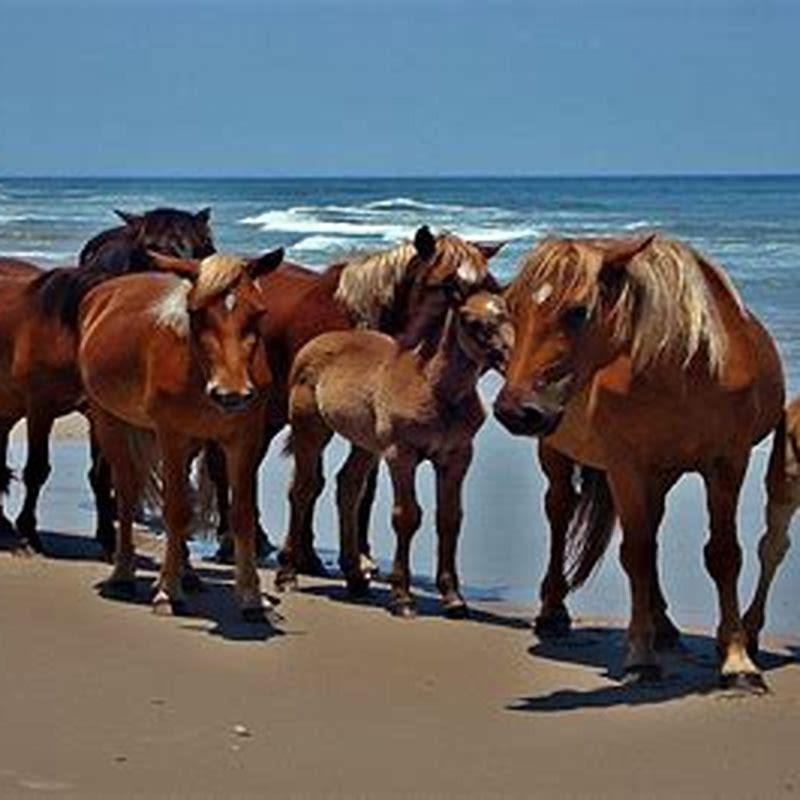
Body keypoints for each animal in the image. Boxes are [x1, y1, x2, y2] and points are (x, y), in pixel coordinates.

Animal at [0, 207, 215, 553]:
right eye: (151, 248)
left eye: (201, 247)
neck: (77, 323)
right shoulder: (40, 407)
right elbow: (37, 470)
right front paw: (29, 532)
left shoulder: (101, 413)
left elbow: (101, 475)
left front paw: (107, 538)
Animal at [78, 248, 284, 618]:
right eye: (196, 313)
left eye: (259, 313)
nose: (231, 394)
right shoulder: (171, 435)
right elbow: (174, 511)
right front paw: (167, 592)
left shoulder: (244, 438)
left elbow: (242, 513)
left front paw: (252, 597)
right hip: (110, 422)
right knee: (127, 494)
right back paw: (124, 574)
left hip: (192, 442)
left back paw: (187, 574)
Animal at [206, 227, 504, 575]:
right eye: (449, 285)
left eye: (489, 285)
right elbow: (314, 480)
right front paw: (305, 554)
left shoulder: (371, 425)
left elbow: (363, 487)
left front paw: (357, 554)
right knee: (222, 463)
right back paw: (230, 540)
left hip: (273, 411)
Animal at [285, 288, 513, 617]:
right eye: (472, 322)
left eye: (509, 316)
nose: (509, 359)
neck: (435, 389)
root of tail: (315, 342)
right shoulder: (401, 455)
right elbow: (407, 516)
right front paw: (403, 596)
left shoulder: (457, 457)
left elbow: (450, 518)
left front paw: (453, 597)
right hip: (310, 429)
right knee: (302, 489)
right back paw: (287, 574)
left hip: (365, 444)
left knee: (348, 487)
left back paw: (355, 578)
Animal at [493, 234, 784, 692]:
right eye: (512, 309)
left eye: (578, 311)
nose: (514, 411)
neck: (684, 372)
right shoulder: (625, 467)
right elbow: (637, 554)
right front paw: (640, 657)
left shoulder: (727, 464)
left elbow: (723, 555)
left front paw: (737, 661)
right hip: (555, 453)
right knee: (560, 511)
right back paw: (554, 611)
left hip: (662, 474)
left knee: (653, 528)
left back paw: (663, 624)